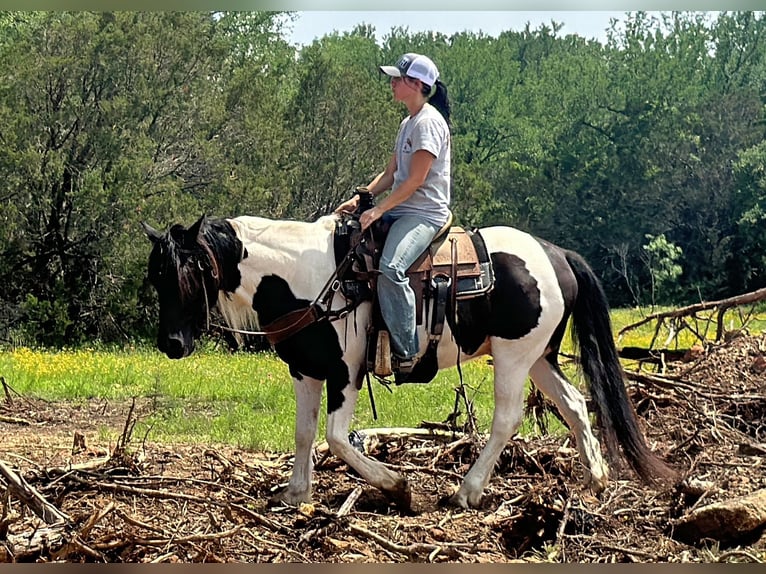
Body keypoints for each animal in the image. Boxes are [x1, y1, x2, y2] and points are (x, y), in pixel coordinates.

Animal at [141, 214, 676, 510]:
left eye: (188, 270)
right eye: (155, 276)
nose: (171, 343)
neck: (309, 277)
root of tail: (555, 253)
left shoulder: (345, 372)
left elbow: (337, 438)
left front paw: (397, 487)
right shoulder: (306, 369)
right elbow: (304, 432)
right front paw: (295, 494)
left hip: (513, 356)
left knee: (508, 418)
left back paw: (467, 491)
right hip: (540, 357)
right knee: (575, 404)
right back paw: (596, 477)